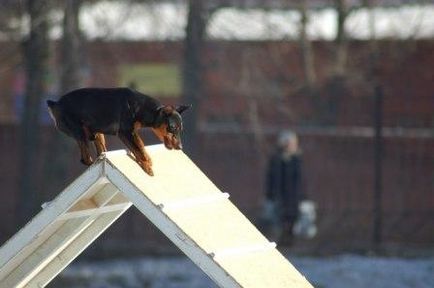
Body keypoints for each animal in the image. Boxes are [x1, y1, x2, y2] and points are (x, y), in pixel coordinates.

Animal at [46, 86, 191, 176]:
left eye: (180, 129)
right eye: (172, 128)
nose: (180, 147)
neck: (141, 107)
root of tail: (55, 104)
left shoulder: (133, 132)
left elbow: (140, 146)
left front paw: (148, 161)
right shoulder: (125, 132)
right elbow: (137, 149)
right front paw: (147, 167)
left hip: (96, 133)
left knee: (98, 150)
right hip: (79, 131)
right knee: (85, 159)